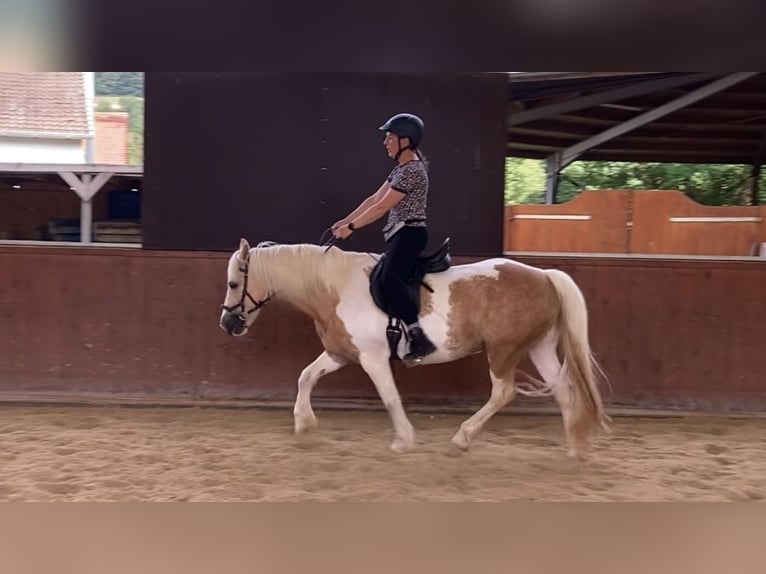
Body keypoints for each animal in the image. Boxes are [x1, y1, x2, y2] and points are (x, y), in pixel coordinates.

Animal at [219, 237, 610, 459]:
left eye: (234, 283)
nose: (227, 324)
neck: (336, 287)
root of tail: (544, 276)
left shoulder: (373, 358)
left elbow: (390, 397)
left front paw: (403, 441)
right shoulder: (340, 353)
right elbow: (305, 376)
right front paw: (304, 425)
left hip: (504, 350)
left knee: (504, 392)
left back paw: (462, 438)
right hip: (539, 347)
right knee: (563, 390)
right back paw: (574, 447)